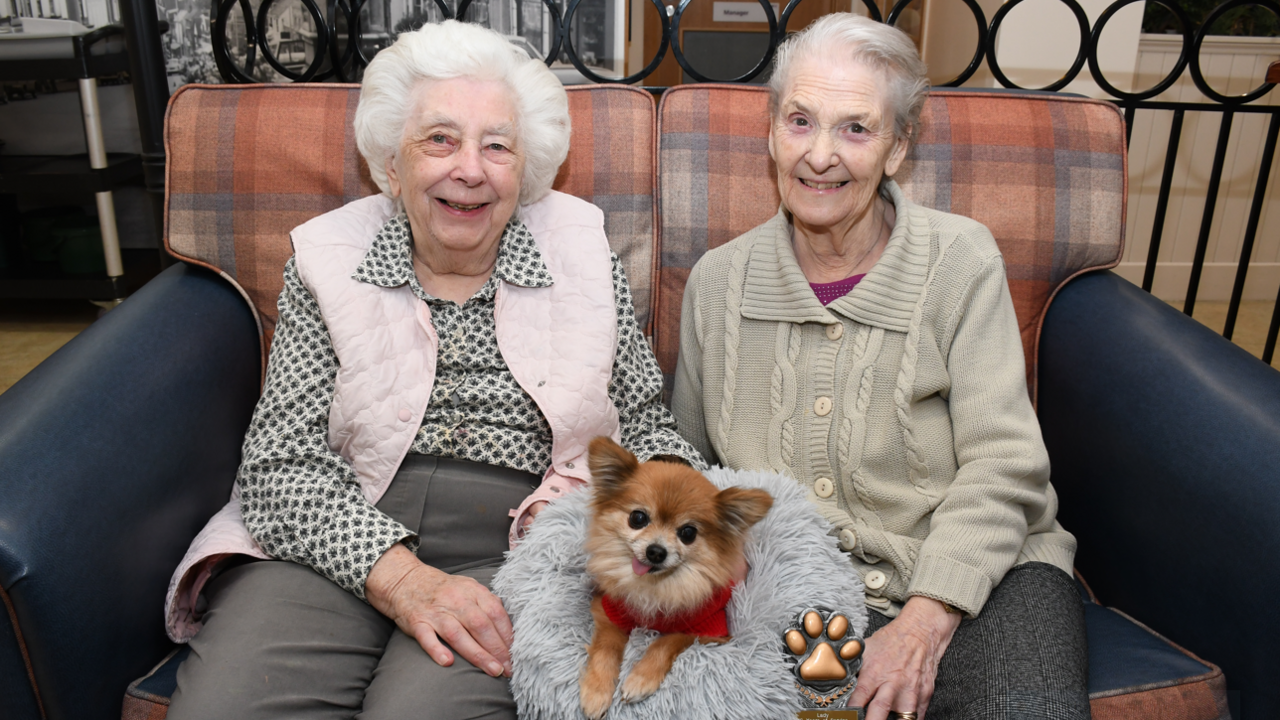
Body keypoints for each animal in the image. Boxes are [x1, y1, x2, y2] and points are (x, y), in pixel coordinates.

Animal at [578, 435, 768, 712]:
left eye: (688, 533)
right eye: (637, 518)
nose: (656, 551)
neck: (656, 587)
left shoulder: (711, 630)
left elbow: (667, 641)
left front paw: (640, 678)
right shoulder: (609, 610)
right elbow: (605, 647)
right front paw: (596, 690)